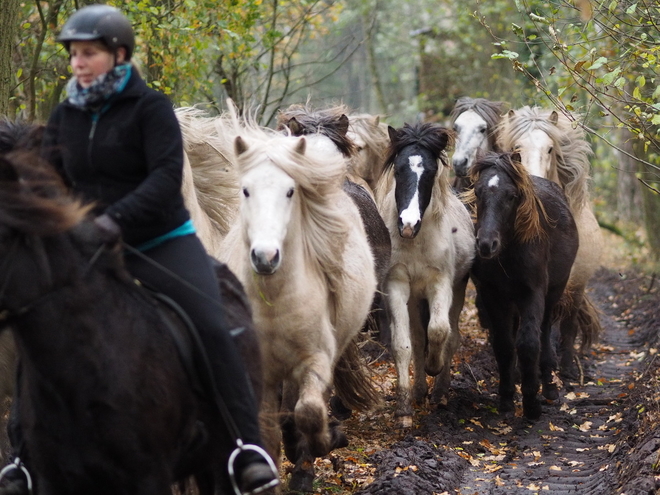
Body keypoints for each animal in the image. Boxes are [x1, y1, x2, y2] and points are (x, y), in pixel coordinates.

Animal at [376, 122, 474, 428]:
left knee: (450, 336)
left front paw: (435, 366)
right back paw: (420, 391)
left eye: (430, 172)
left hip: (457, 290)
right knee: (418, 339)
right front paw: (404, 410)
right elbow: (404, 344)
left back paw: (439, 392)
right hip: (414, 298)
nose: (408, 224)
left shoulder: (439, 283)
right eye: (398, 170)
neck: (416, 242)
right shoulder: (396, 285)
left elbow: (439, 330)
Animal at [464, 153, 576, 420]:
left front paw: (531, 402)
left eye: (511, 195)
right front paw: (506, 398)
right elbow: (504, 345)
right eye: (478, 191)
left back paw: (548, 386)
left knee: (544, 332)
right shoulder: (492, 296)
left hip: (552, 294)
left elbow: (528, 343)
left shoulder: (532, 294)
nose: (486, 244)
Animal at [496, 106, 604, 378]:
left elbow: (567, 327)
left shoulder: (571, 285)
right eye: (517, 148)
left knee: (567, 324)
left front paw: (565, 370)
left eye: (550, 149)